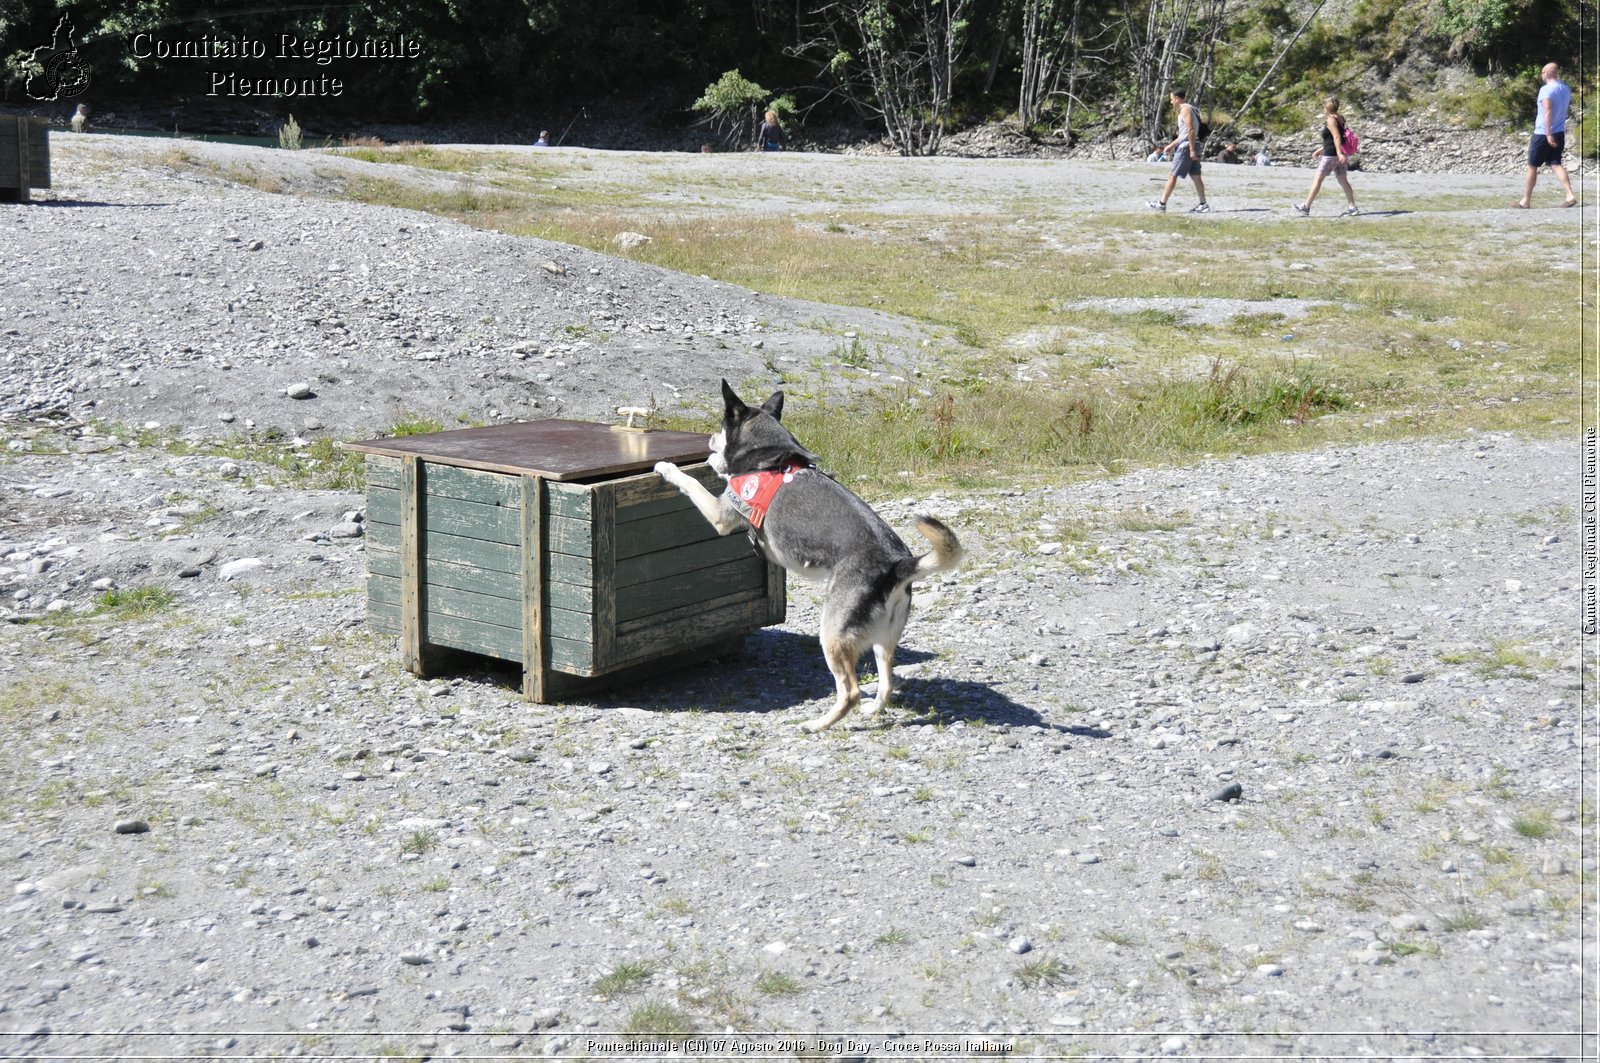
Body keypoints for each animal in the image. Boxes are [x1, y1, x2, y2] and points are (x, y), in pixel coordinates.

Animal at [652, 376, 960, 730]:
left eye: (720, 426)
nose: (708, 440)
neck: (769, 456)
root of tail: (896, 566)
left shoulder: (720, 513)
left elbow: (691, 482)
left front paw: (670, 467)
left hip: (831, 636)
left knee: (851, 691)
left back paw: (819, 724)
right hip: (884, 639)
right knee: (887, 680)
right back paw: (874, 709)